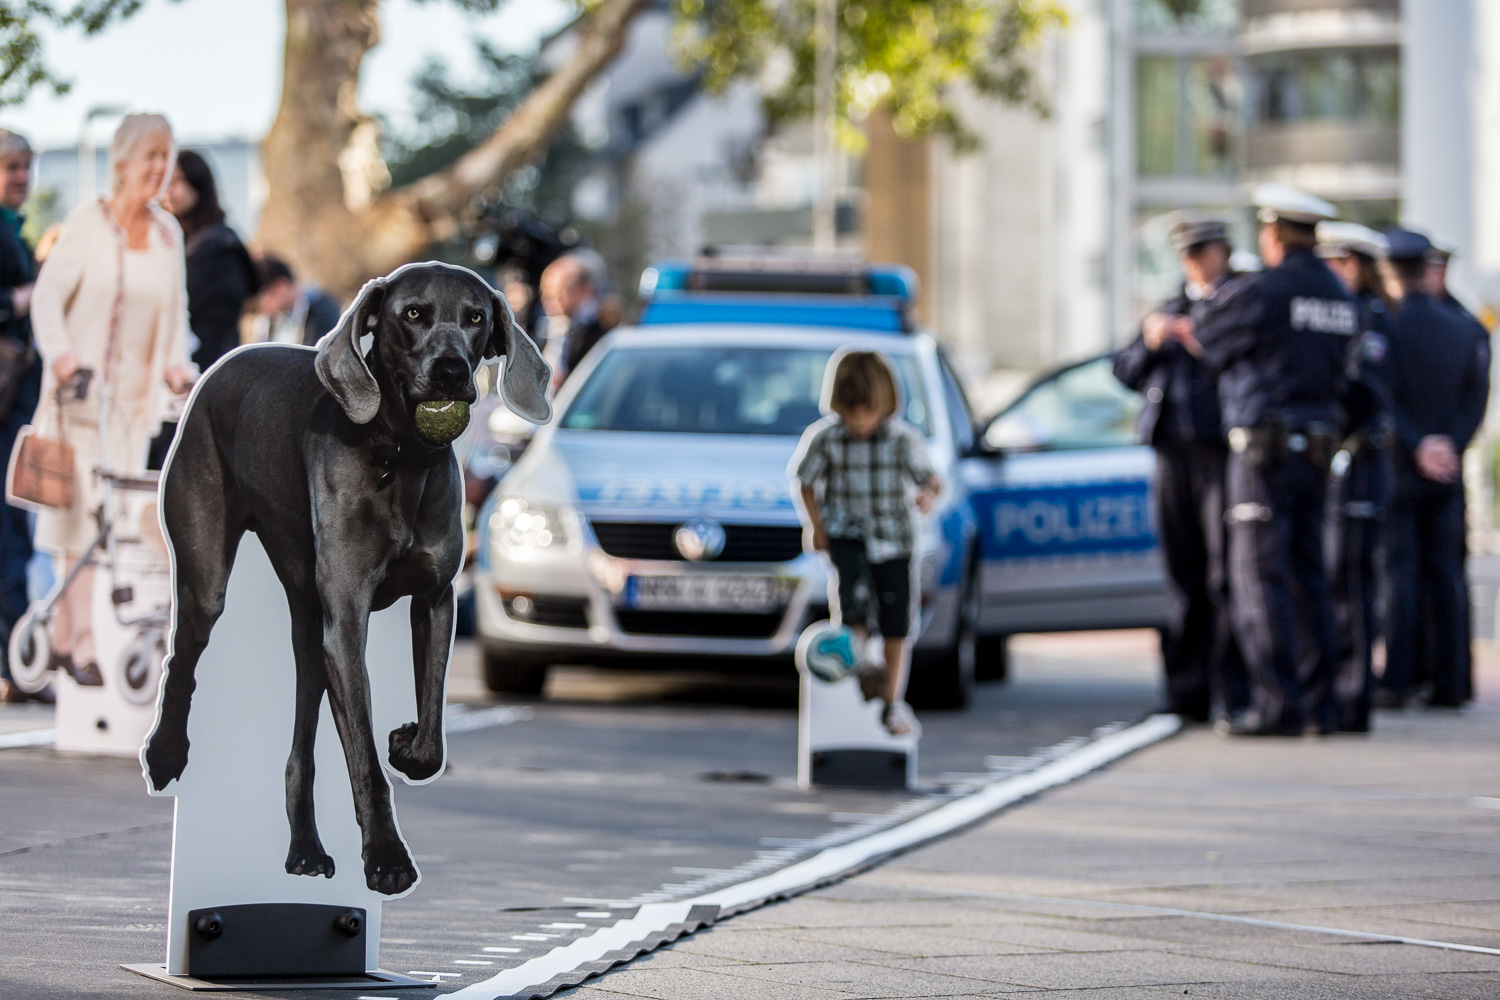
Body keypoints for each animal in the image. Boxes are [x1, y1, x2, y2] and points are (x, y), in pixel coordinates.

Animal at [139, 262, 552, 893]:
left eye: (476, 318)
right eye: (413, 314)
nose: (451, 370)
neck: (400, 459)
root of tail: (225, 362)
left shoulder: (435, 601)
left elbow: (431, 736)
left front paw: (405, 743)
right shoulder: (348, 621)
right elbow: (363, 759)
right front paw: (387, 858)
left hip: (310, 627)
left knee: (300, 750)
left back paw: (305, 849)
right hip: (208, 574)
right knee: (180, 661)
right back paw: (164, 754)